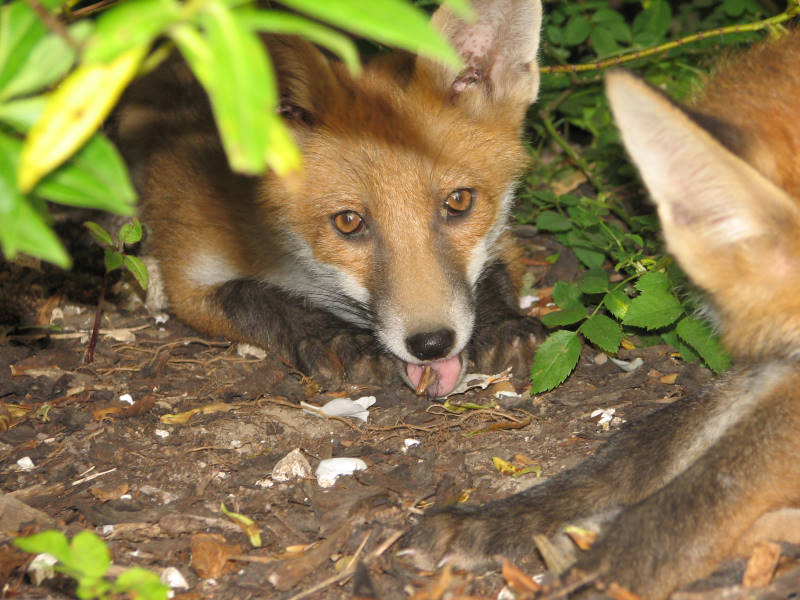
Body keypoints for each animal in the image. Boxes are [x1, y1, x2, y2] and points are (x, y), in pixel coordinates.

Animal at [112, 0, 544, 397]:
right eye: (348, 222)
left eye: (458, 202)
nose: (432, 343)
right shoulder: (189, 266)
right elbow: (257, 296)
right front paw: (336, 338)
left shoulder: (503, 238)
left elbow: (494, 272)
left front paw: (505, 324)